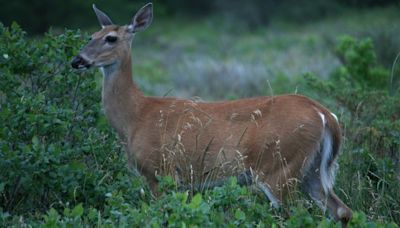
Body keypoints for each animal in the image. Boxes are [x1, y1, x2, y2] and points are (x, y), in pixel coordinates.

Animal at [70, 2, 352, 224]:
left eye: (111, 38)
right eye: (91, 35)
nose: (77, 60)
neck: (136, 116)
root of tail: (325, 115)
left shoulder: (160, 171)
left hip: (278, 166)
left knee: (296, 215)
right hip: (311, 170)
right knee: (341, 211)